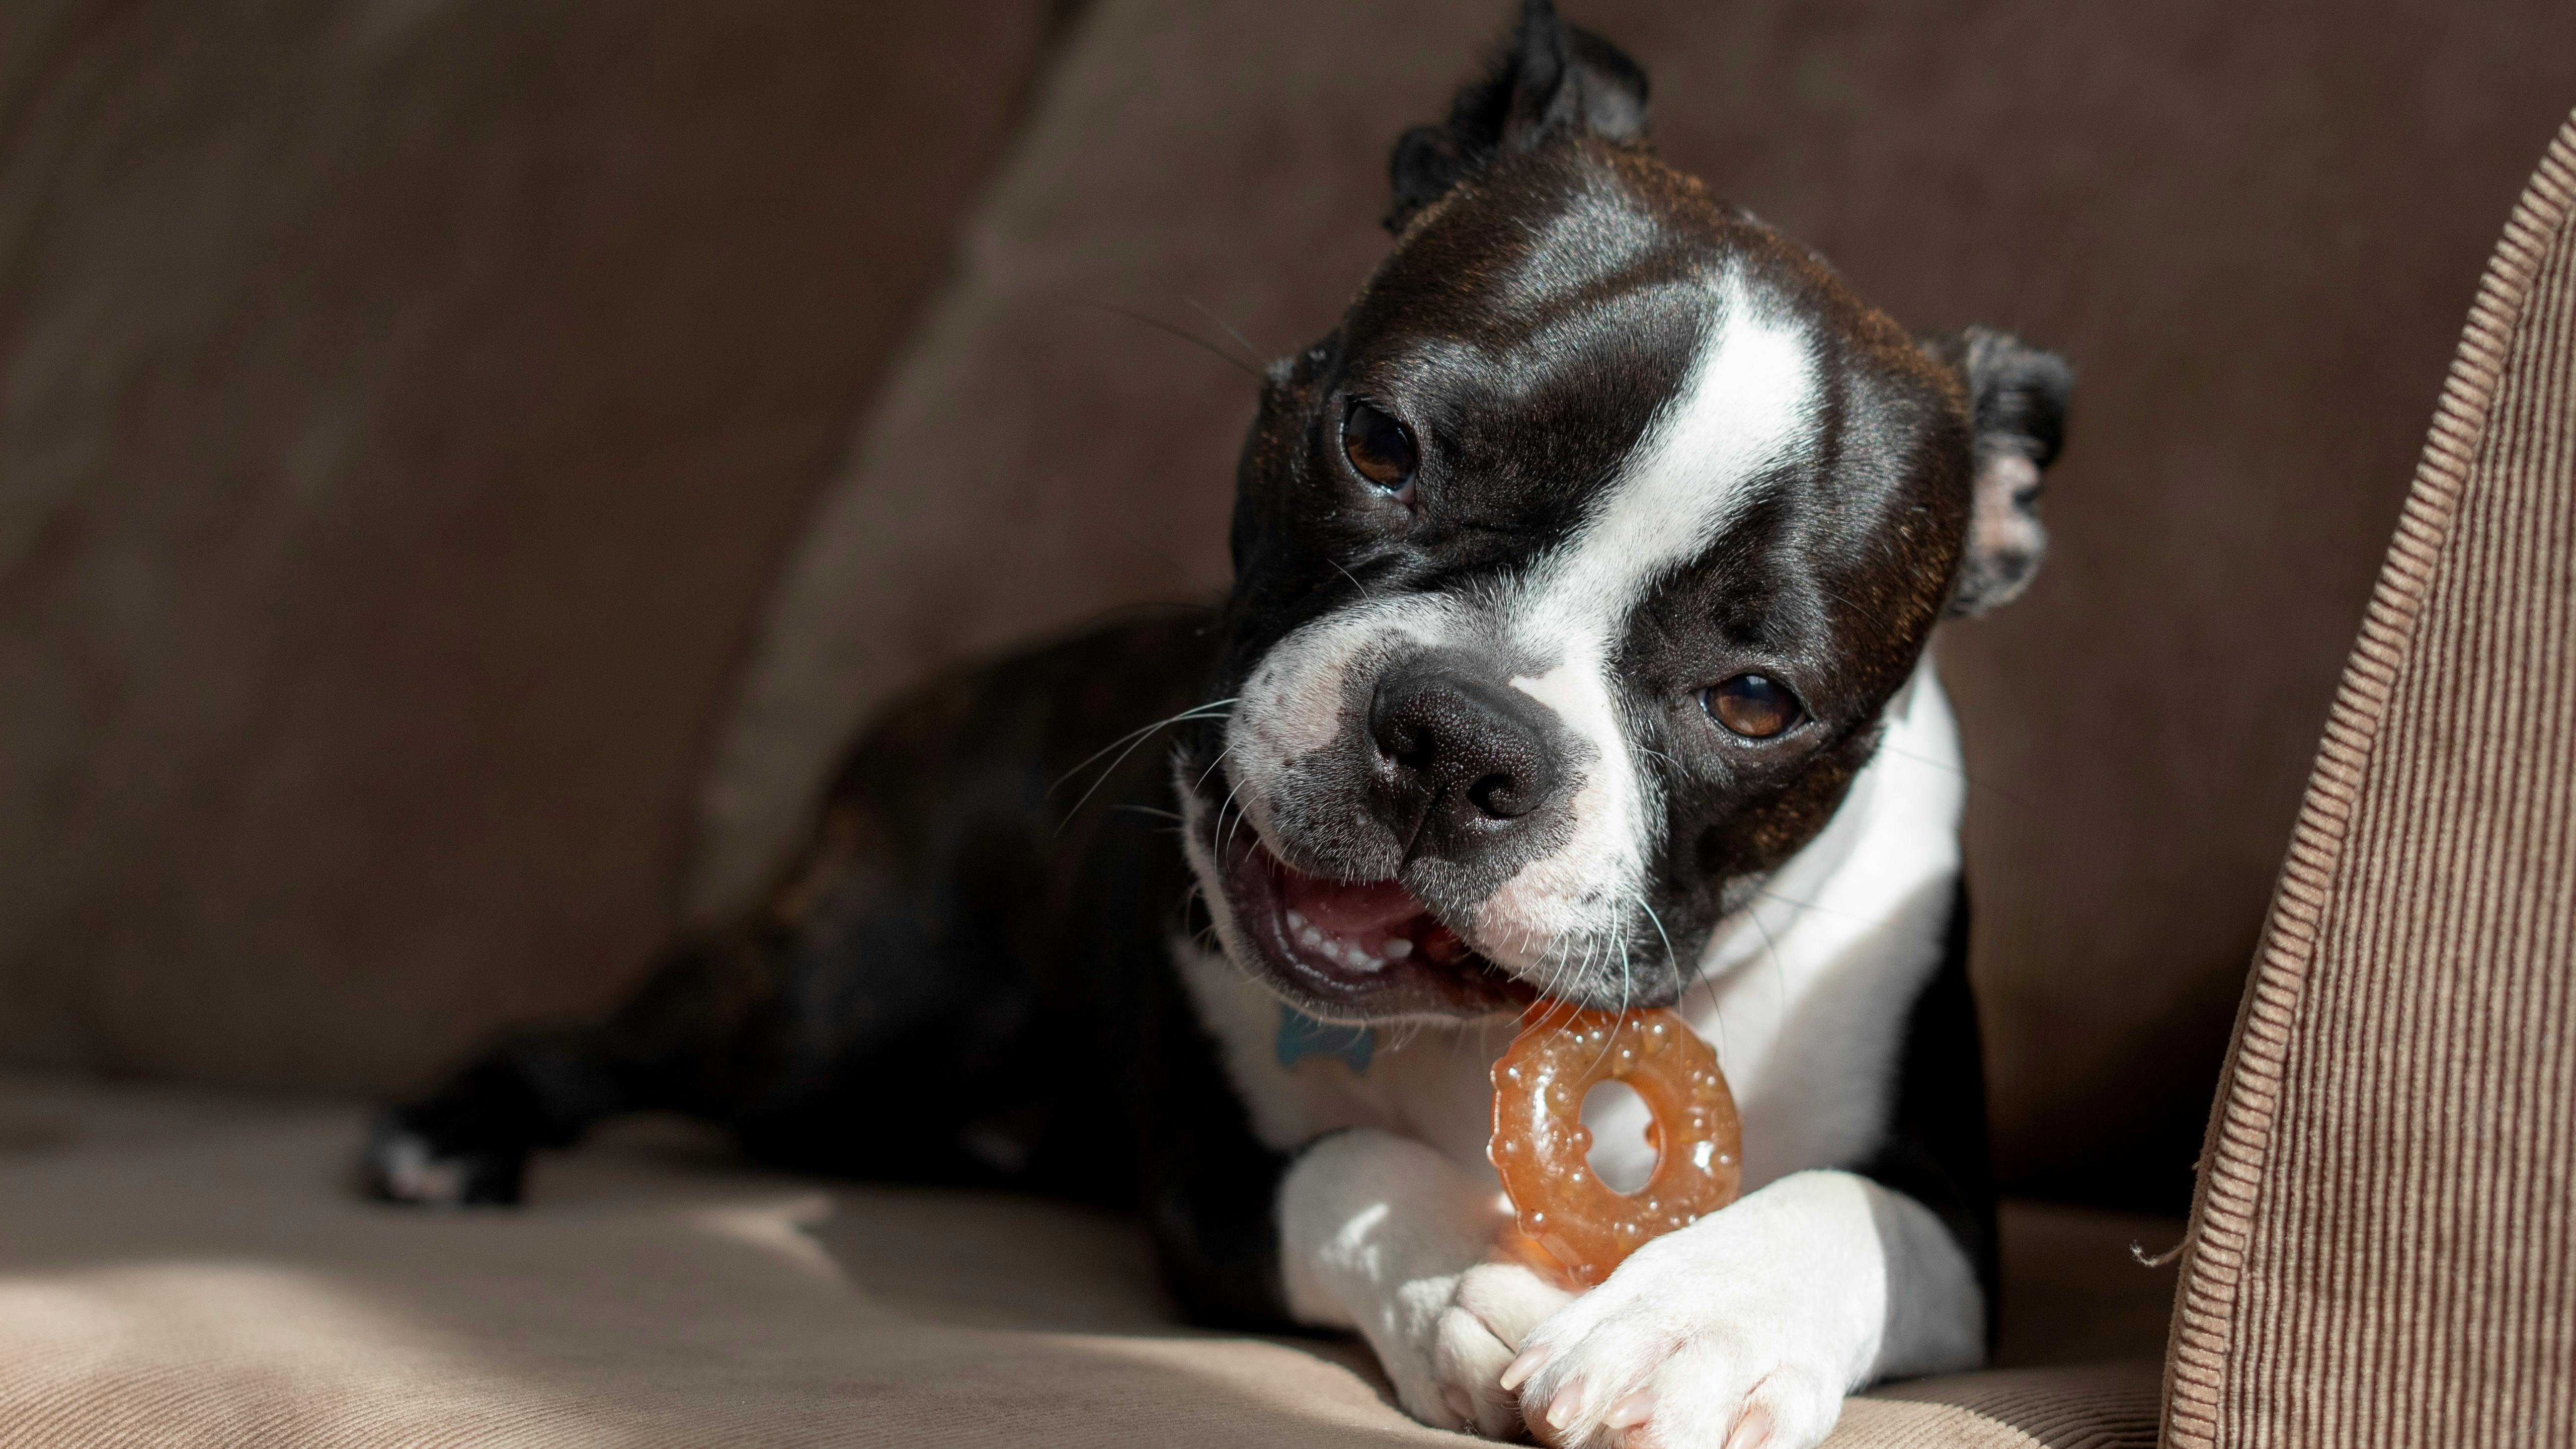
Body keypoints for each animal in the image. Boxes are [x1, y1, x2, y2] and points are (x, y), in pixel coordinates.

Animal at [368, 5, 2071, 1433]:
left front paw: (1690, 1327)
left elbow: (1843, 1214)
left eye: (1757, 700)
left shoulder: (1957, 1217)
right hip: (825, 1013)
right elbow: (1352, 1168)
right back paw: (448, 1134)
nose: (1461, 737)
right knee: (617, 1037)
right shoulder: (1208, 1180)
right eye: (1380, 444)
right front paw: (1469, 1278)